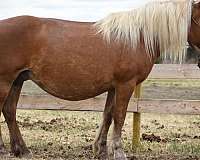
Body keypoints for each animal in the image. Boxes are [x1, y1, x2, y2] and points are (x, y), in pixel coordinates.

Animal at [0, 0, 199, 160]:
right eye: (199, 19)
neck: (138, 38)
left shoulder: (113, 86)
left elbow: (108, 115)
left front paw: (101, 150)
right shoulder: (126, 84)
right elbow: (119, 116)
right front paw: (118, 151)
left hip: (17, 81)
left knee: (9, 111)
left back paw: (22, 150)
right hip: (5, 81)